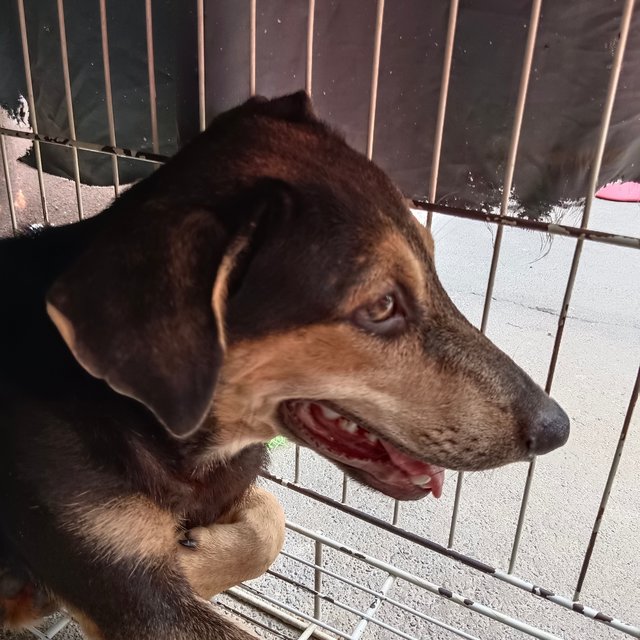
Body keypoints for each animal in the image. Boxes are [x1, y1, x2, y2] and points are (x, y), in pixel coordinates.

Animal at [0, 92, 568, 636]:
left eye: (432, 264)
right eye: (381, 306)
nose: (558, 429)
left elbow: (274, 518)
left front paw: (194, 558)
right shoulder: (126, 580)